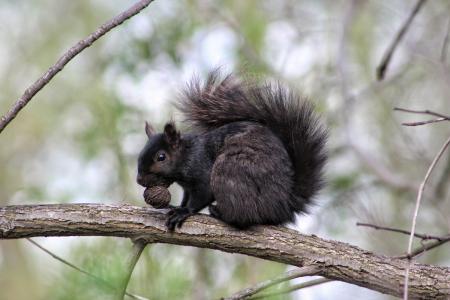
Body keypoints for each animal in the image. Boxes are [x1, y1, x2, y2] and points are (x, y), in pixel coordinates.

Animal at [135, 71, 326, 231]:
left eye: (161, 157)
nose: (139, 180)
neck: (187, 154)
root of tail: (285, 207)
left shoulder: (201, 170)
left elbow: (202, 195)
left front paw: (184, 212)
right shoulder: (187, 187)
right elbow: (186, 197)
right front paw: (178, 206)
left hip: (229, 170)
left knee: (245, 217)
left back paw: (220, 213)